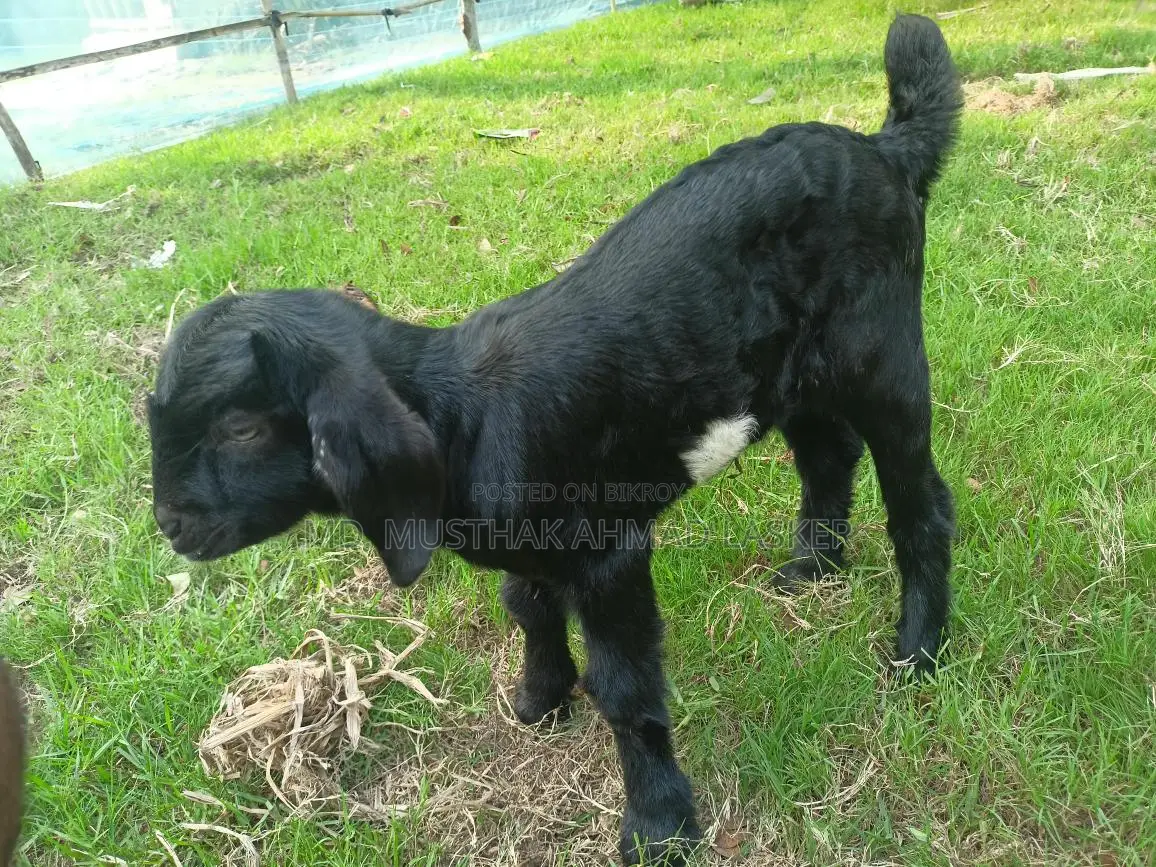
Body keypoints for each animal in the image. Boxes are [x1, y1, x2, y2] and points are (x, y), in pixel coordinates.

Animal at [148, 14, 962, 864]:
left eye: (241, 426)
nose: (171, 522)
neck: (462, 418)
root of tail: (885, 148)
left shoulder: (608, 552)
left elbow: (627, 687)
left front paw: (658, 825)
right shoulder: (533, 545)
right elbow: (526, 604)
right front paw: (539, 697)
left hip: (884, 353)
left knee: (919, 501)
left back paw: (918, 649)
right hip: (790, 372)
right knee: (827, 453)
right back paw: (811, 567)